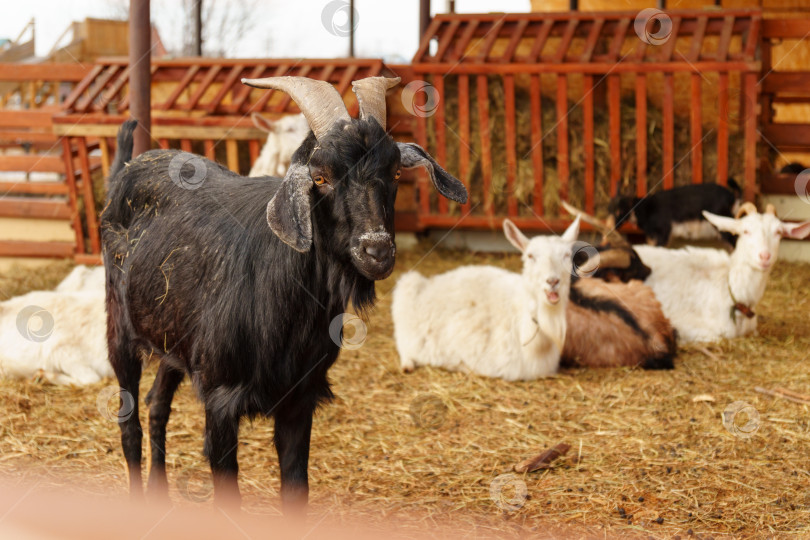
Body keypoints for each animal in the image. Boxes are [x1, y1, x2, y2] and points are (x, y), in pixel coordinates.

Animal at [99, 76, 468, 510]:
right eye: (320, 177)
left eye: (395, 172)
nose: (376, 250)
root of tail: (126, 169)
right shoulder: (221, 402)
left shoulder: (299, 399)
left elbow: (296, 491)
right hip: (120, 329)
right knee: (129, 422)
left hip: (172, 340)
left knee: (158, 405)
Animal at [392, 217, 576, 382]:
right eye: (530, 256)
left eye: (567, 255)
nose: (552, 281)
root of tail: (428, 282)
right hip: (405, 294)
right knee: (404, 346)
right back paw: (407, 365)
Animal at [608, 182, 740, 248]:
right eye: (609, 209)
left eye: (619, 210)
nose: (611, 227)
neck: (645, 209)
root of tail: (731, 197)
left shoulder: (663, 232)